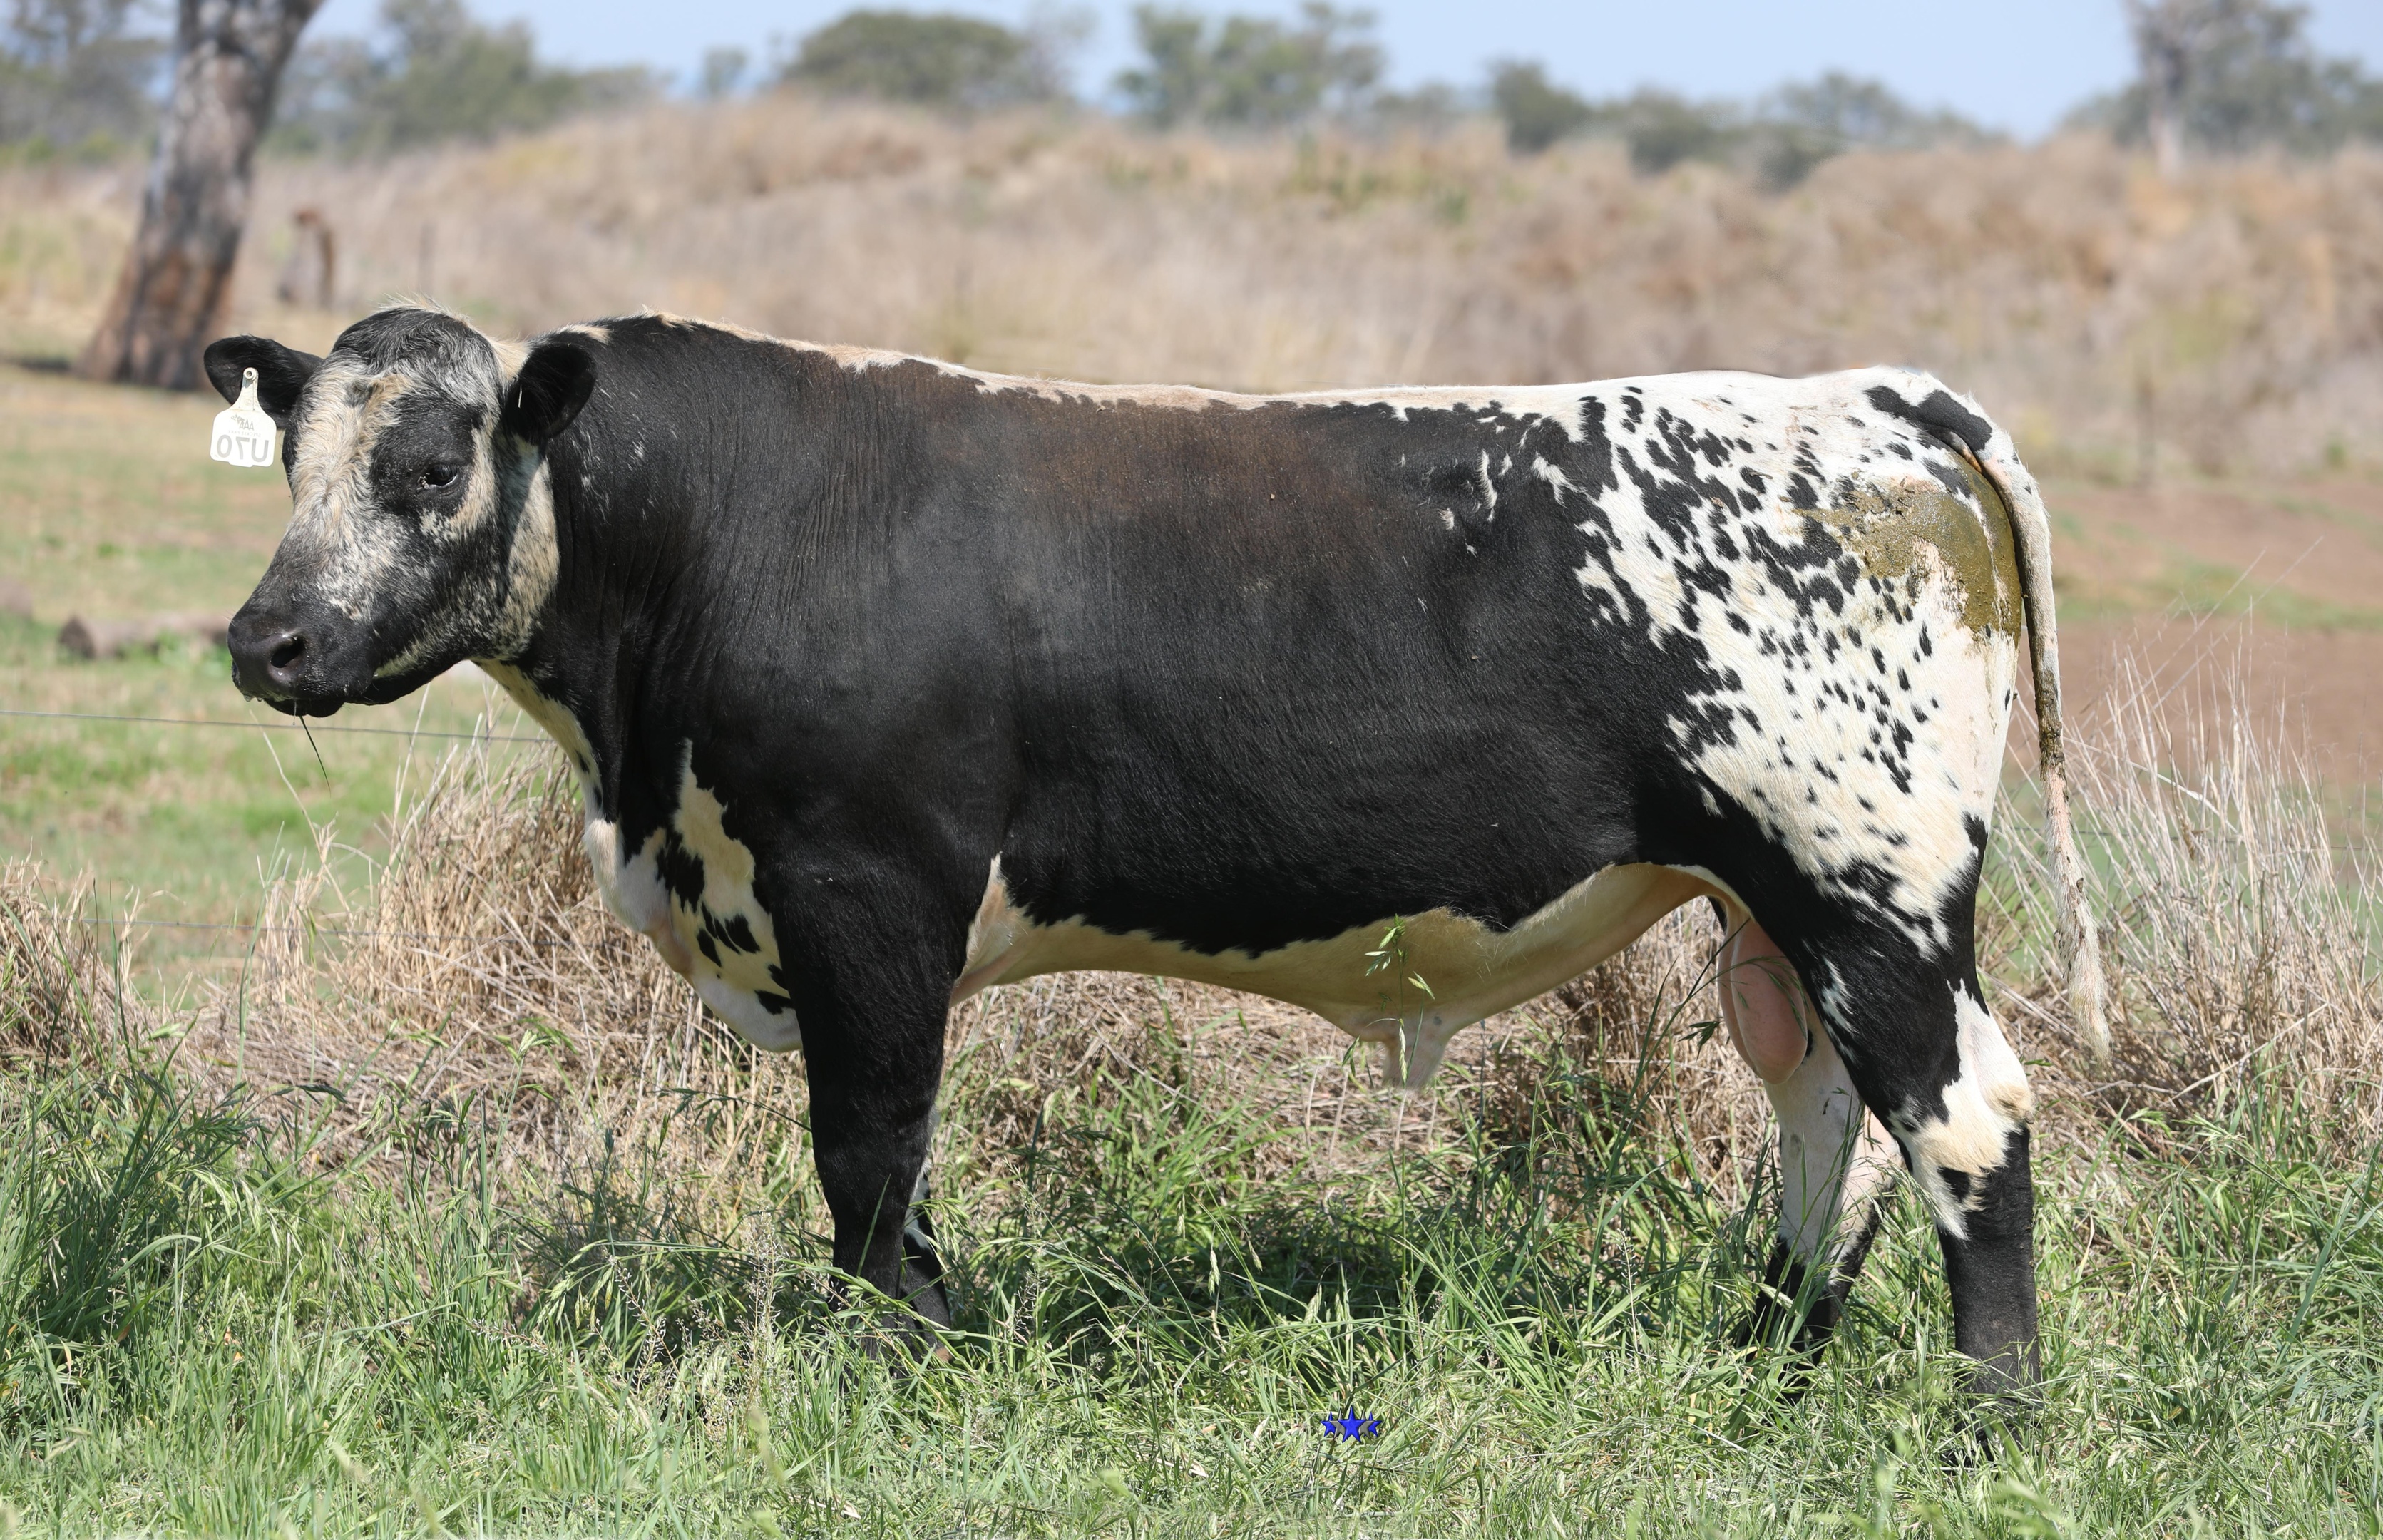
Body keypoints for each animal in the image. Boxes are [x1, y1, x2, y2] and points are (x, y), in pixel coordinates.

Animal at [207, 304, 2106, 1396]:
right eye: (288, 467)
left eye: (433, 465)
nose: (265, 641)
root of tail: (1867, 400)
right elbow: (893, 1168)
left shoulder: (864, 890)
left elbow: (867, 1157)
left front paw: (909, 1374)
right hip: (1773, 905)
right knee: (1823, 1108)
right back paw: (1770, 1340)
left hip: (1866, 881)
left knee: (1964, 1113)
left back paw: (1985, 1414)